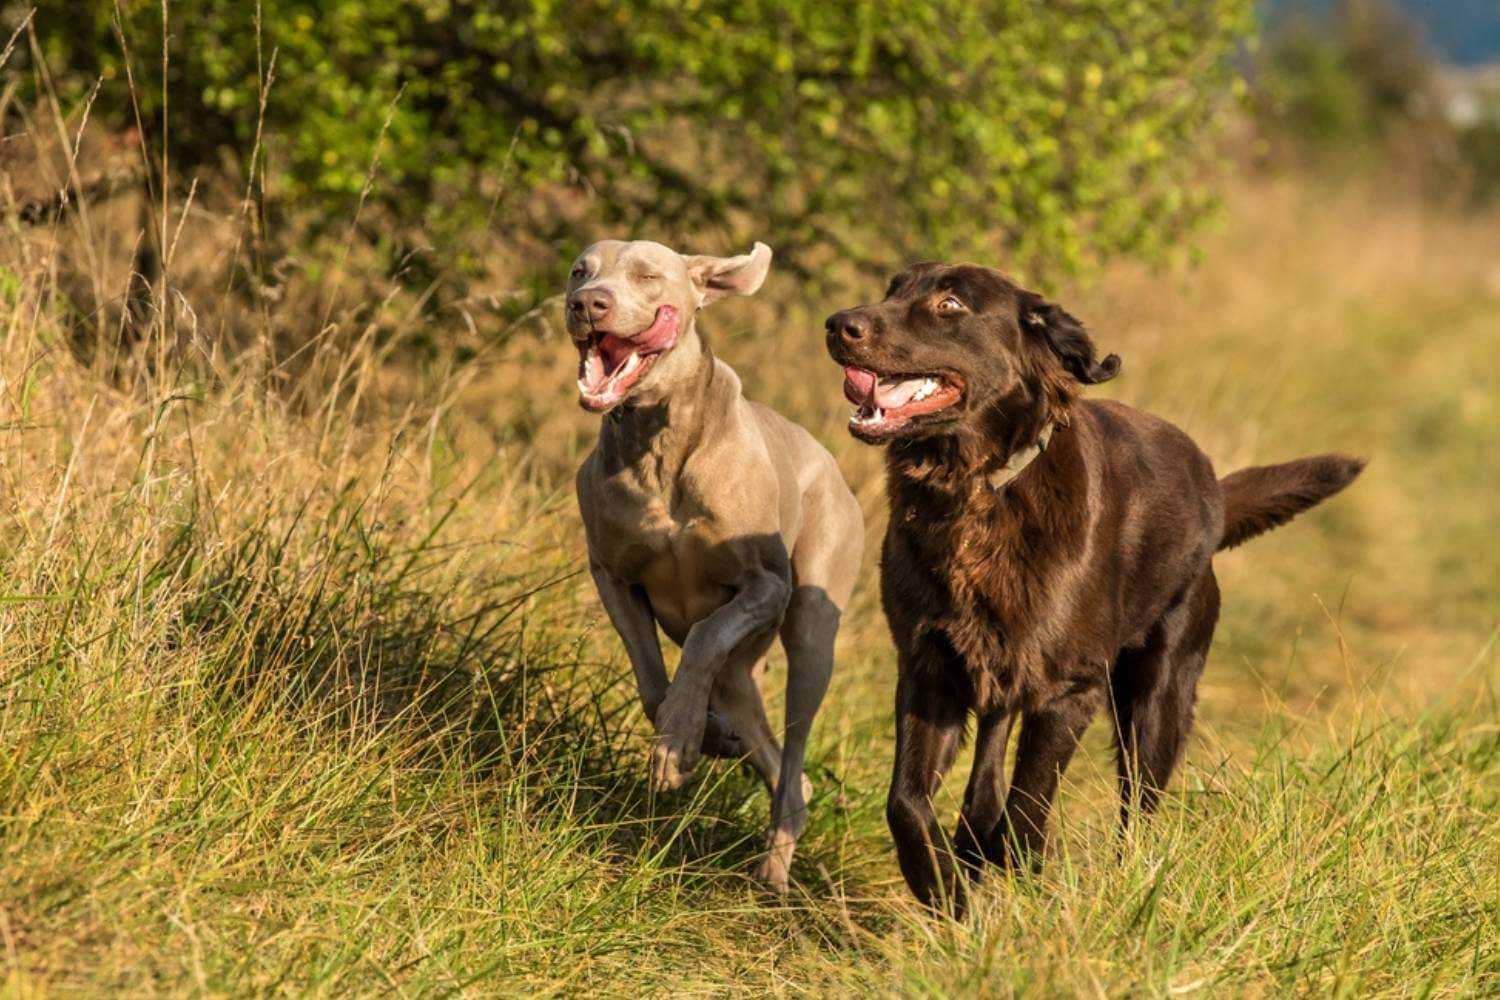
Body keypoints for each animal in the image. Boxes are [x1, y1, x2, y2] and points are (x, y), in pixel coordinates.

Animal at [564, 242, 870, 893]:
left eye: (647, 275)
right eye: (581, 270)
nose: (587, 304)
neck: (661, 439)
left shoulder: (767, 586)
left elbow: (705, 635)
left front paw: (678, 741)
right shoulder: (611, 575)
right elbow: (652, 681)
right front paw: (693, 736)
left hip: (813, 625)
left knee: (794, 754)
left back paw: (774, 872)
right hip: (742, 672)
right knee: (783, 765)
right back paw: (731, 742)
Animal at [822, 263, 1362, 917]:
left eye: (950, 304)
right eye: (893, 289)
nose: (837, 324)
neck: (976, 491)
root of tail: (1212, 490)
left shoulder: (1069, 691)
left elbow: (1025, 817)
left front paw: (1021, 893)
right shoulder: (930, 670)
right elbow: (906, 804)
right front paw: (947, 896)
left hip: (1158, 697)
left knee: (1137, 811)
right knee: (985, 789)